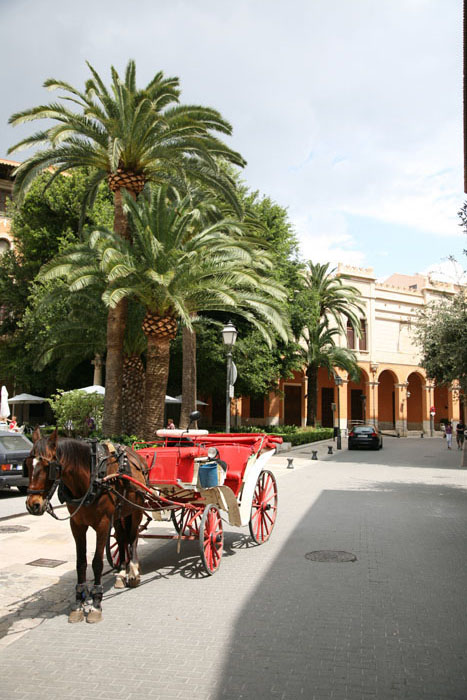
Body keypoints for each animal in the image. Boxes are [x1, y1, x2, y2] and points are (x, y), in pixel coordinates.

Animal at [23, 430, 147, 620]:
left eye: (48, 467)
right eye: (28, 465)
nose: (33, 504)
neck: (91, 479)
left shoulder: (103, 524)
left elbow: (96, 563)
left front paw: (96, 602)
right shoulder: (77, 524)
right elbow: (80, 562)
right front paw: (79, 601)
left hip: (136, 510)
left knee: (133, 537)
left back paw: (133, 571)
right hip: (119, 514)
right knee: (121, 538)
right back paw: (121, 572)